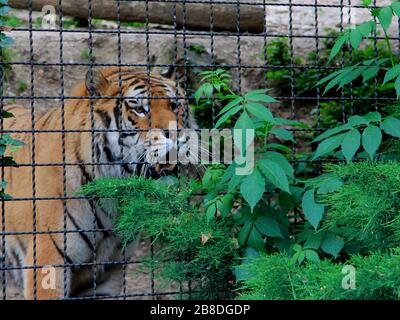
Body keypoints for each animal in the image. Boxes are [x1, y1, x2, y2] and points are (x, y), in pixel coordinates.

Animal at [0, 66, 198, 298]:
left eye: (174, 106)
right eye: (139, 109)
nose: (176, 135)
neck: (115, 200)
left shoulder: (107, 276)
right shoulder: (48, 261)